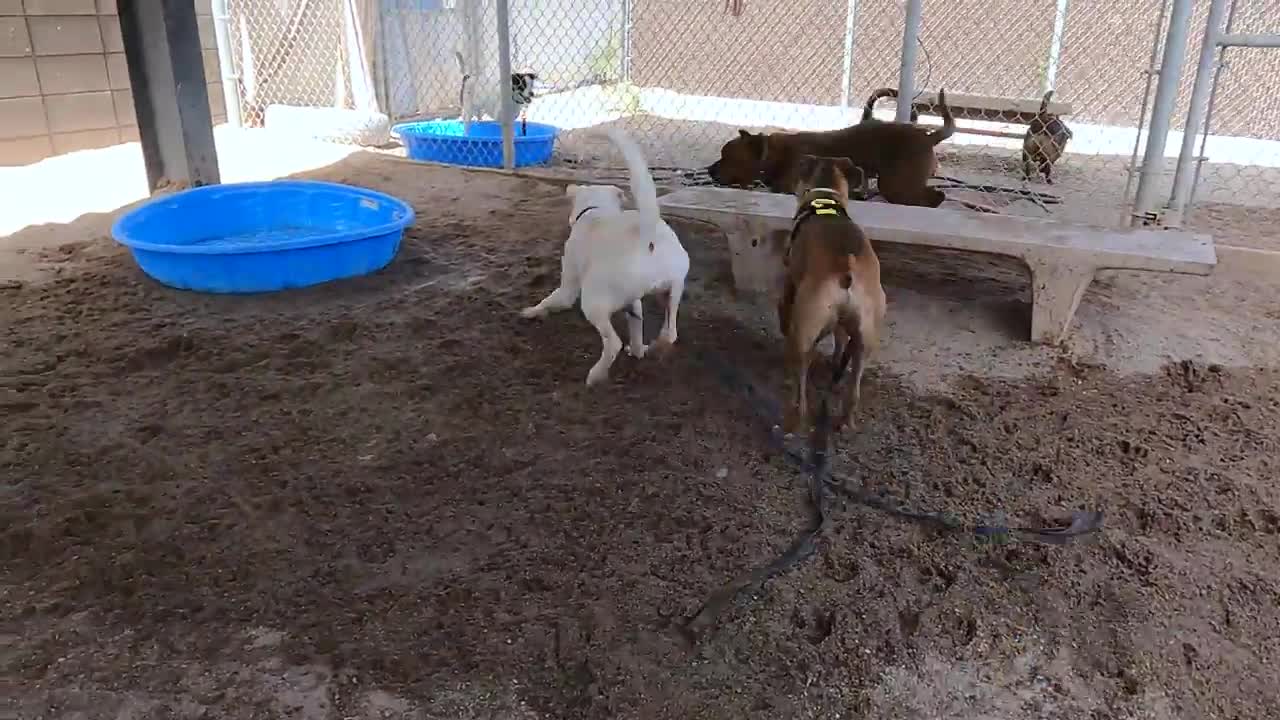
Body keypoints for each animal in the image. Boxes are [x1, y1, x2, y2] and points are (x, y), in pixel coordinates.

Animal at [517, 128, 691, 386]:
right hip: (671, 292)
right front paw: (638, 349)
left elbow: (550, 299)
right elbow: (637, 328)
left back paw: (596, 376)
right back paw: (648, 348)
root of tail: (648, 235)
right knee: (669, 333)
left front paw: (532, 312)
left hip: (592, 302)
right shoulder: (634, 303)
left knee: (613, 344)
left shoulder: (569, 287)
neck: (596, 212)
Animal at [706, 88, 957, 207]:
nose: (709, 169)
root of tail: (928, 136)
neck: (773, 156)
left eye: (728, 157)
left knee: (935, 196)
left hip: (895, 184)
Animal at [773, 154, 885, 435]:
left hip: (803, 330)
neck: (826, 199)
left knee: (800, 390)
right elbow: (840, 338)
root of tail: (846, 268)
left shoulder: (790, 282)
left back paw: (792, 422)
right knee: (853, 388)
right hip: (865, 339)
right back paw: (845, 420)